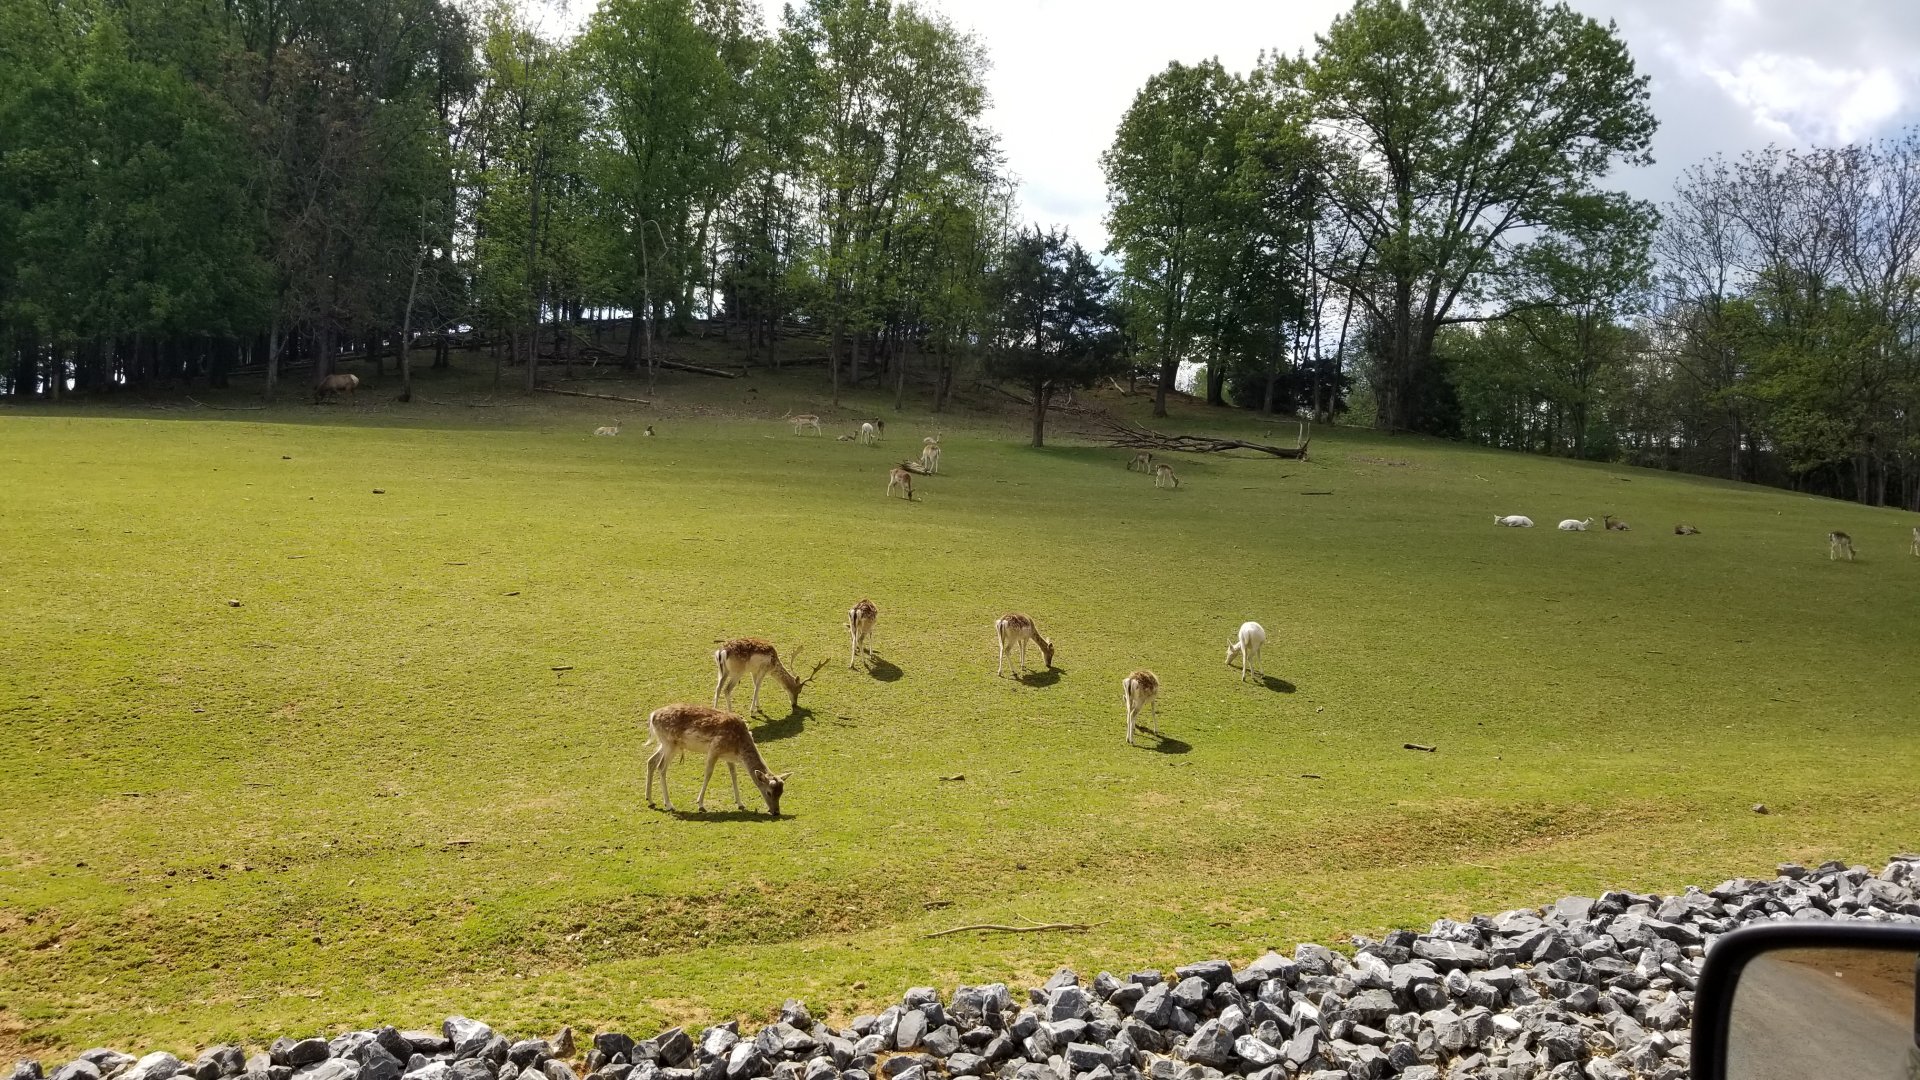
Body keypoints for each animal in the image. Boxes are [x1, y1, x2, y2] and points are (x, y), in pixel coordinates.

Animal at [644, 703, 789, 817]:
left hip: (665, 744)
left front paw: (740, 803)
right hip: (670, 744)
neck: (739, 748)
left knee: (651, 761)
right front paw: (700, 804)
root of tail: (652, 716)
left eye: (781, 793)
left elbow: (734, 776)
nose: (776, 812)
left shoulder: (729, 757)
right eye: (769, 792)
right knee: (661, 767)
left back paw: (650, 800)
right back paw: (669, 804)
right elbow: (708, 774)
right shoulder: (714, 749)